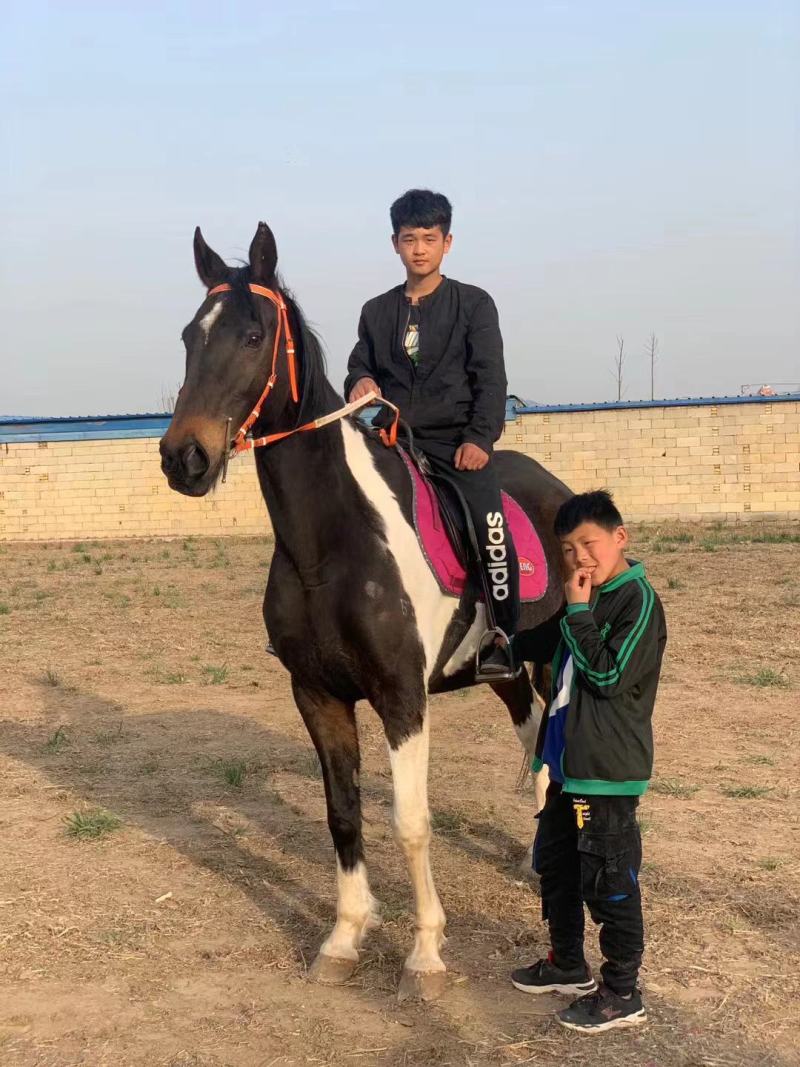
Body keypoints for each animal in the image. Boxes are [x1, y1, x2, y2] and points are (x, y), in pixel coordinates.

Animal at [160, 222, 571, 1001]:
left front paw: (426, 954)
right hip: (502, 668)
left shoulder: (401, 696)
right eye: (189, 336)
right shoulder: (318, 693)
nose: (183, 459)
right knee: (533, 733)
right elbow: (343, 813)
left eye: (254, 334)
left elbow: (410, 821)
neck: (331, 544)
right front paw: (345, 937)